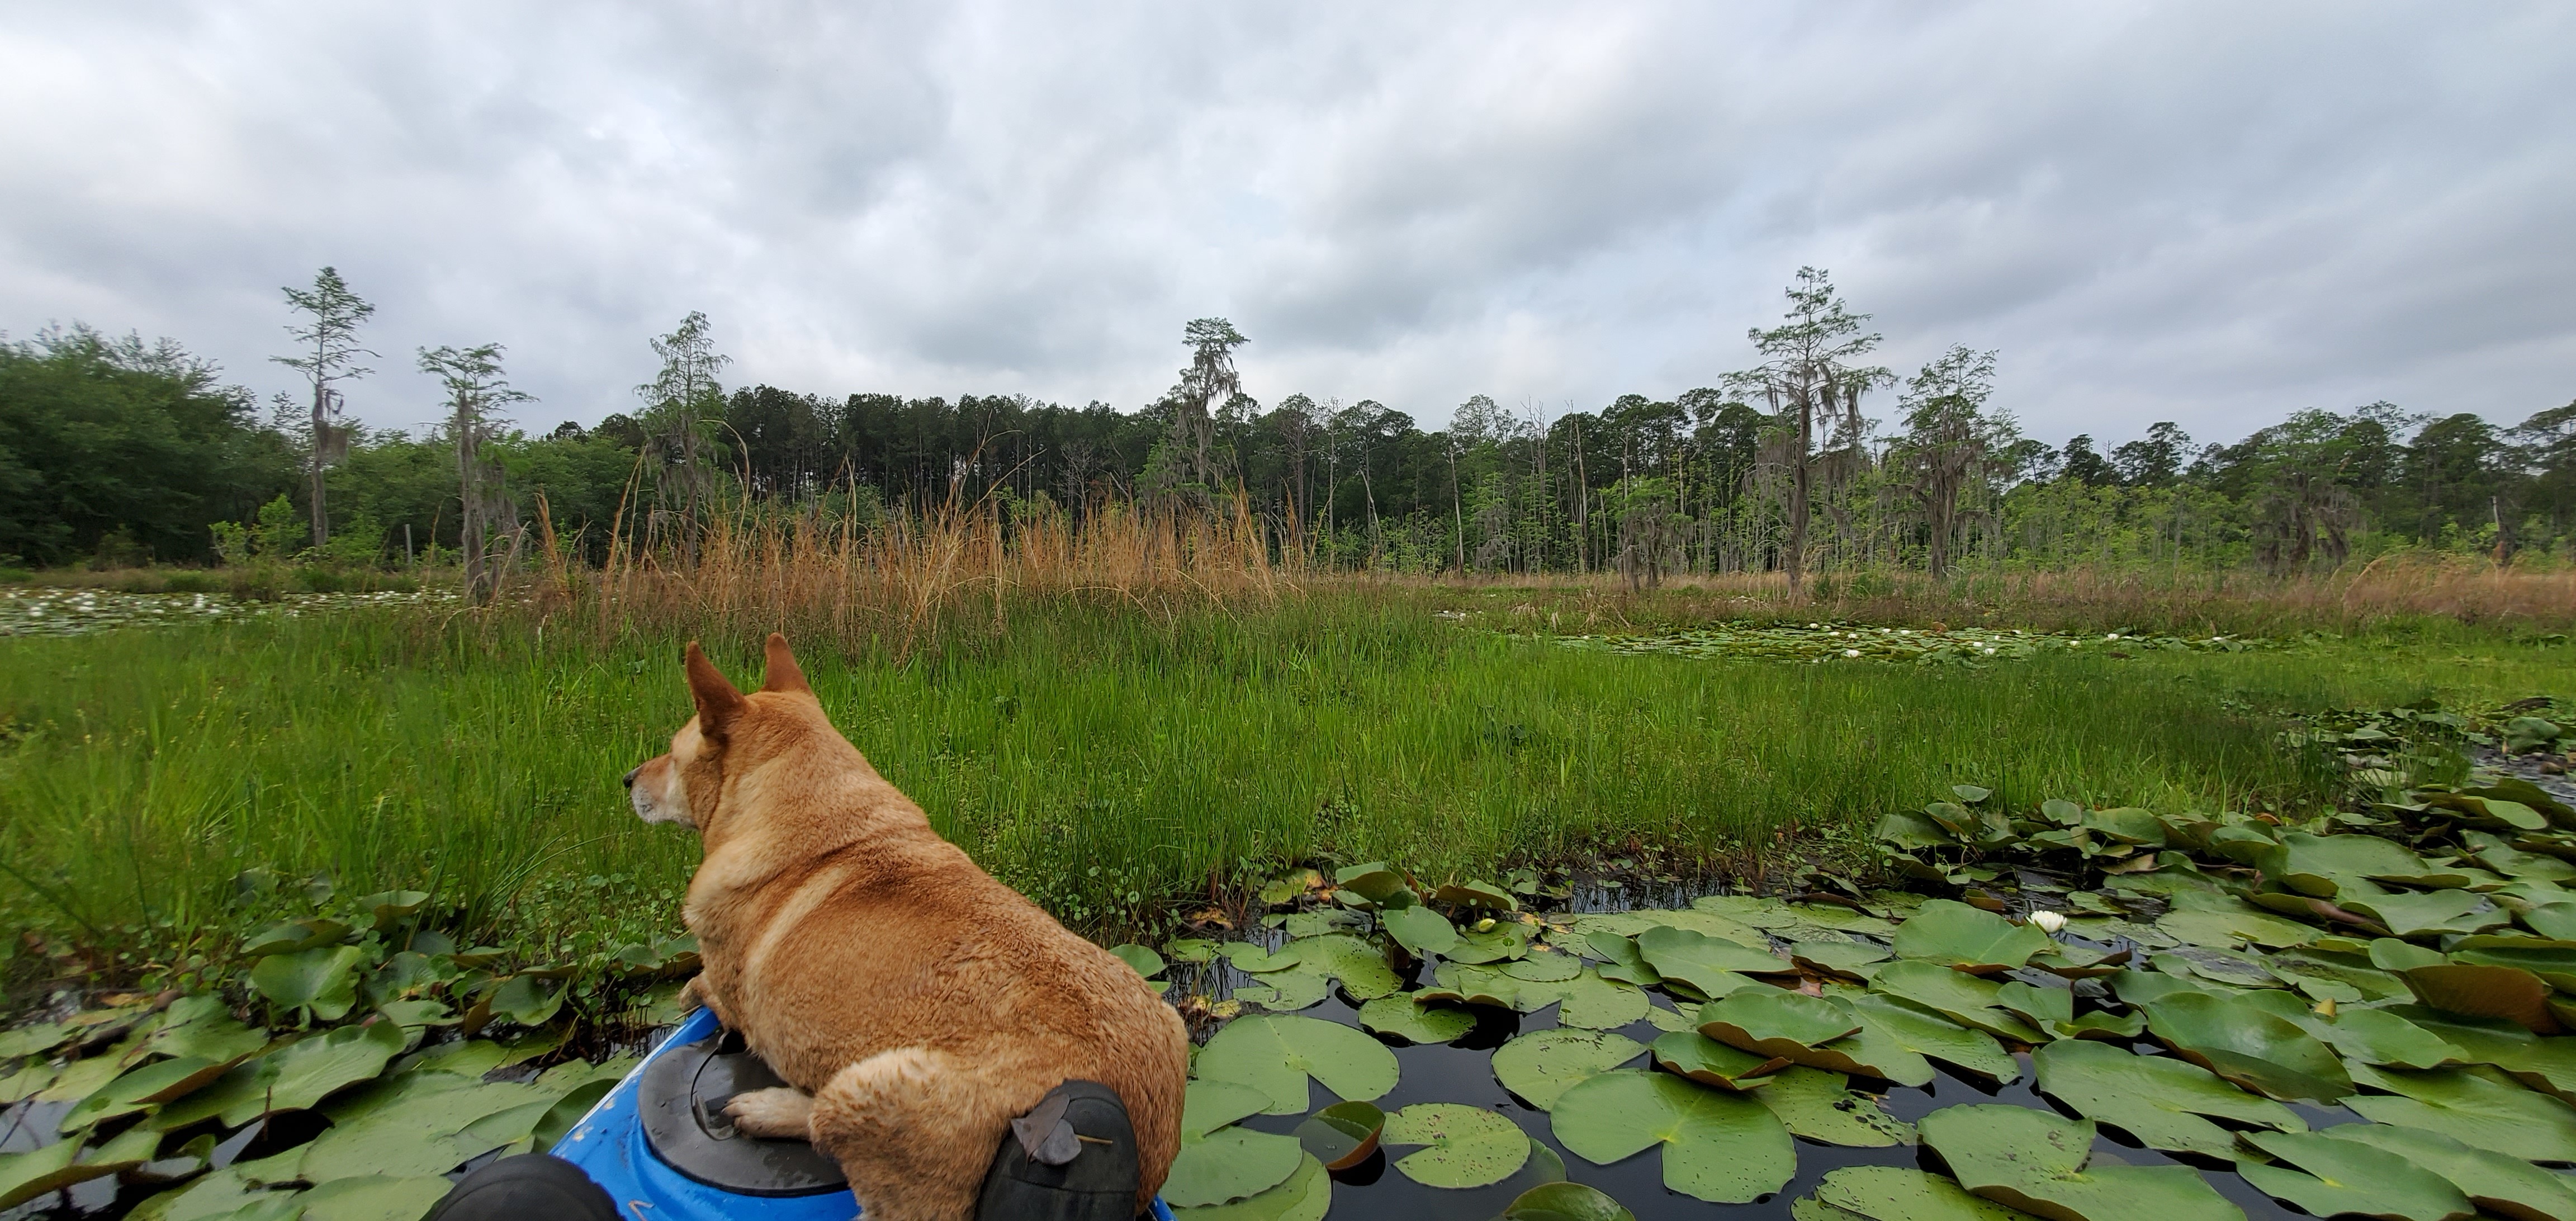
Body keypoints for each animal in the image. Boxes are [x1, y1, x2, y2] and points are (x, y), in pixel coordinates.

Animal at [623, 633, 1185, 1215]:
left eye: (673, 753)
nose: (627, 779)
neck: (813, 814)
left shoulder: (731, 992)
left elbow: (706, 987)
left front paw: (690, 991)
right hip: (1170, 1018)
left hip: (860, 1089)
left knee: (824, 1126)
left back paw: (767, 1109)